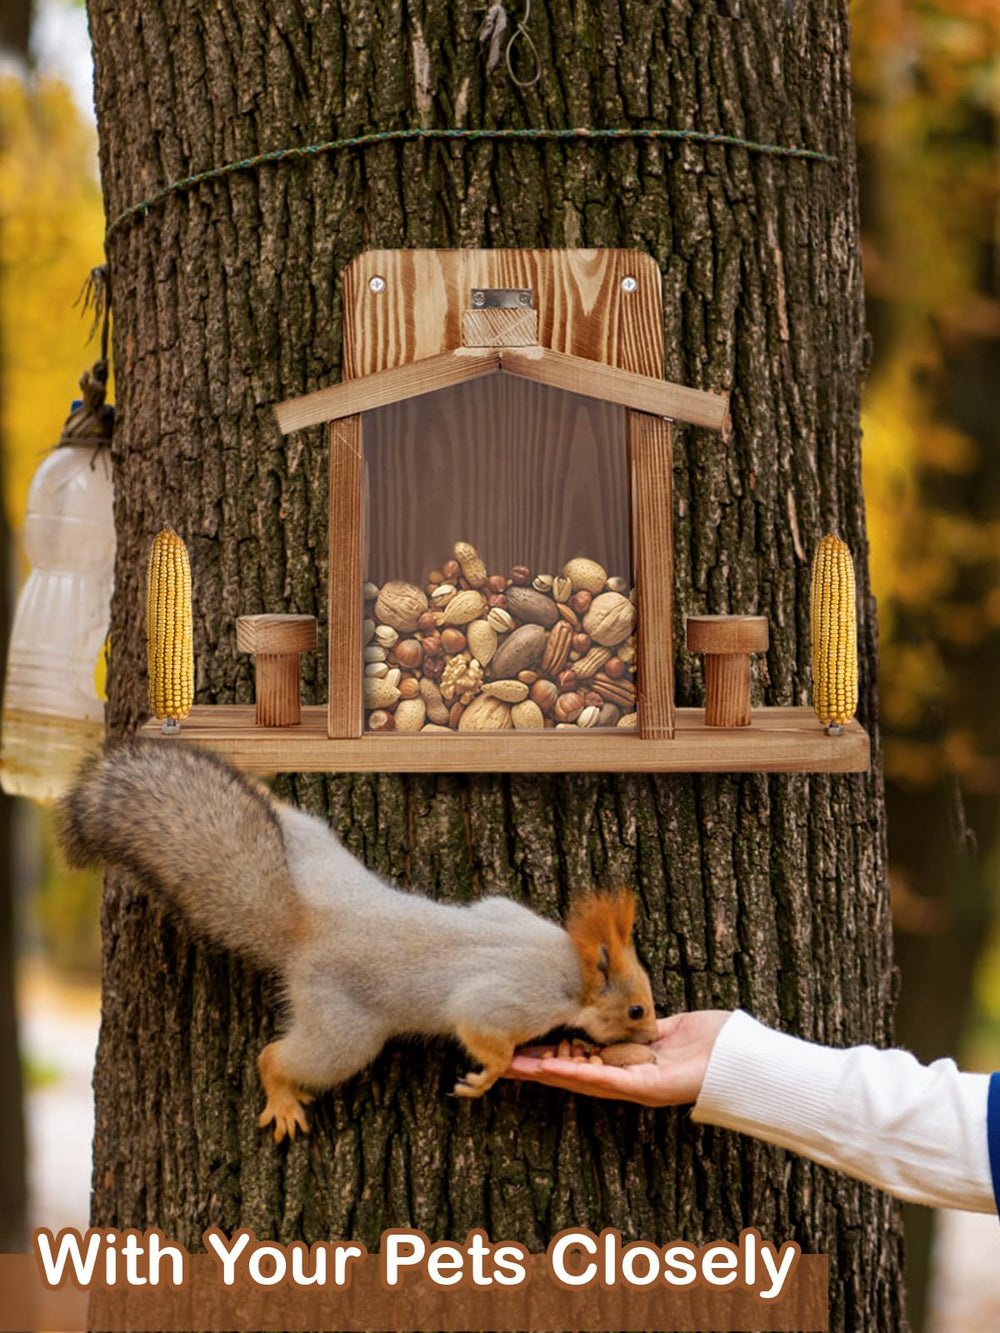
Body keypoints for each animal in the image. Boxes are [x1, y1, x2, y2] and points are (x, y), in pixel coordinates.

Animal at [57, 742, 658, 1142]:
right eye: (635, 1010)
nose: (653, 1035)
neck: (569, 964)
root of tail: (305, 925)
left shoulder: (509, 914)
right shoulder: (516, 999)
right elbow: (483, 1031)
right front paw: (486, 1078)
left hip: (317, 853)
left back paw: (266, 792)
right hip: (343, 1031)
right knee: (281, 1057)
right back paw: (281, 1095)